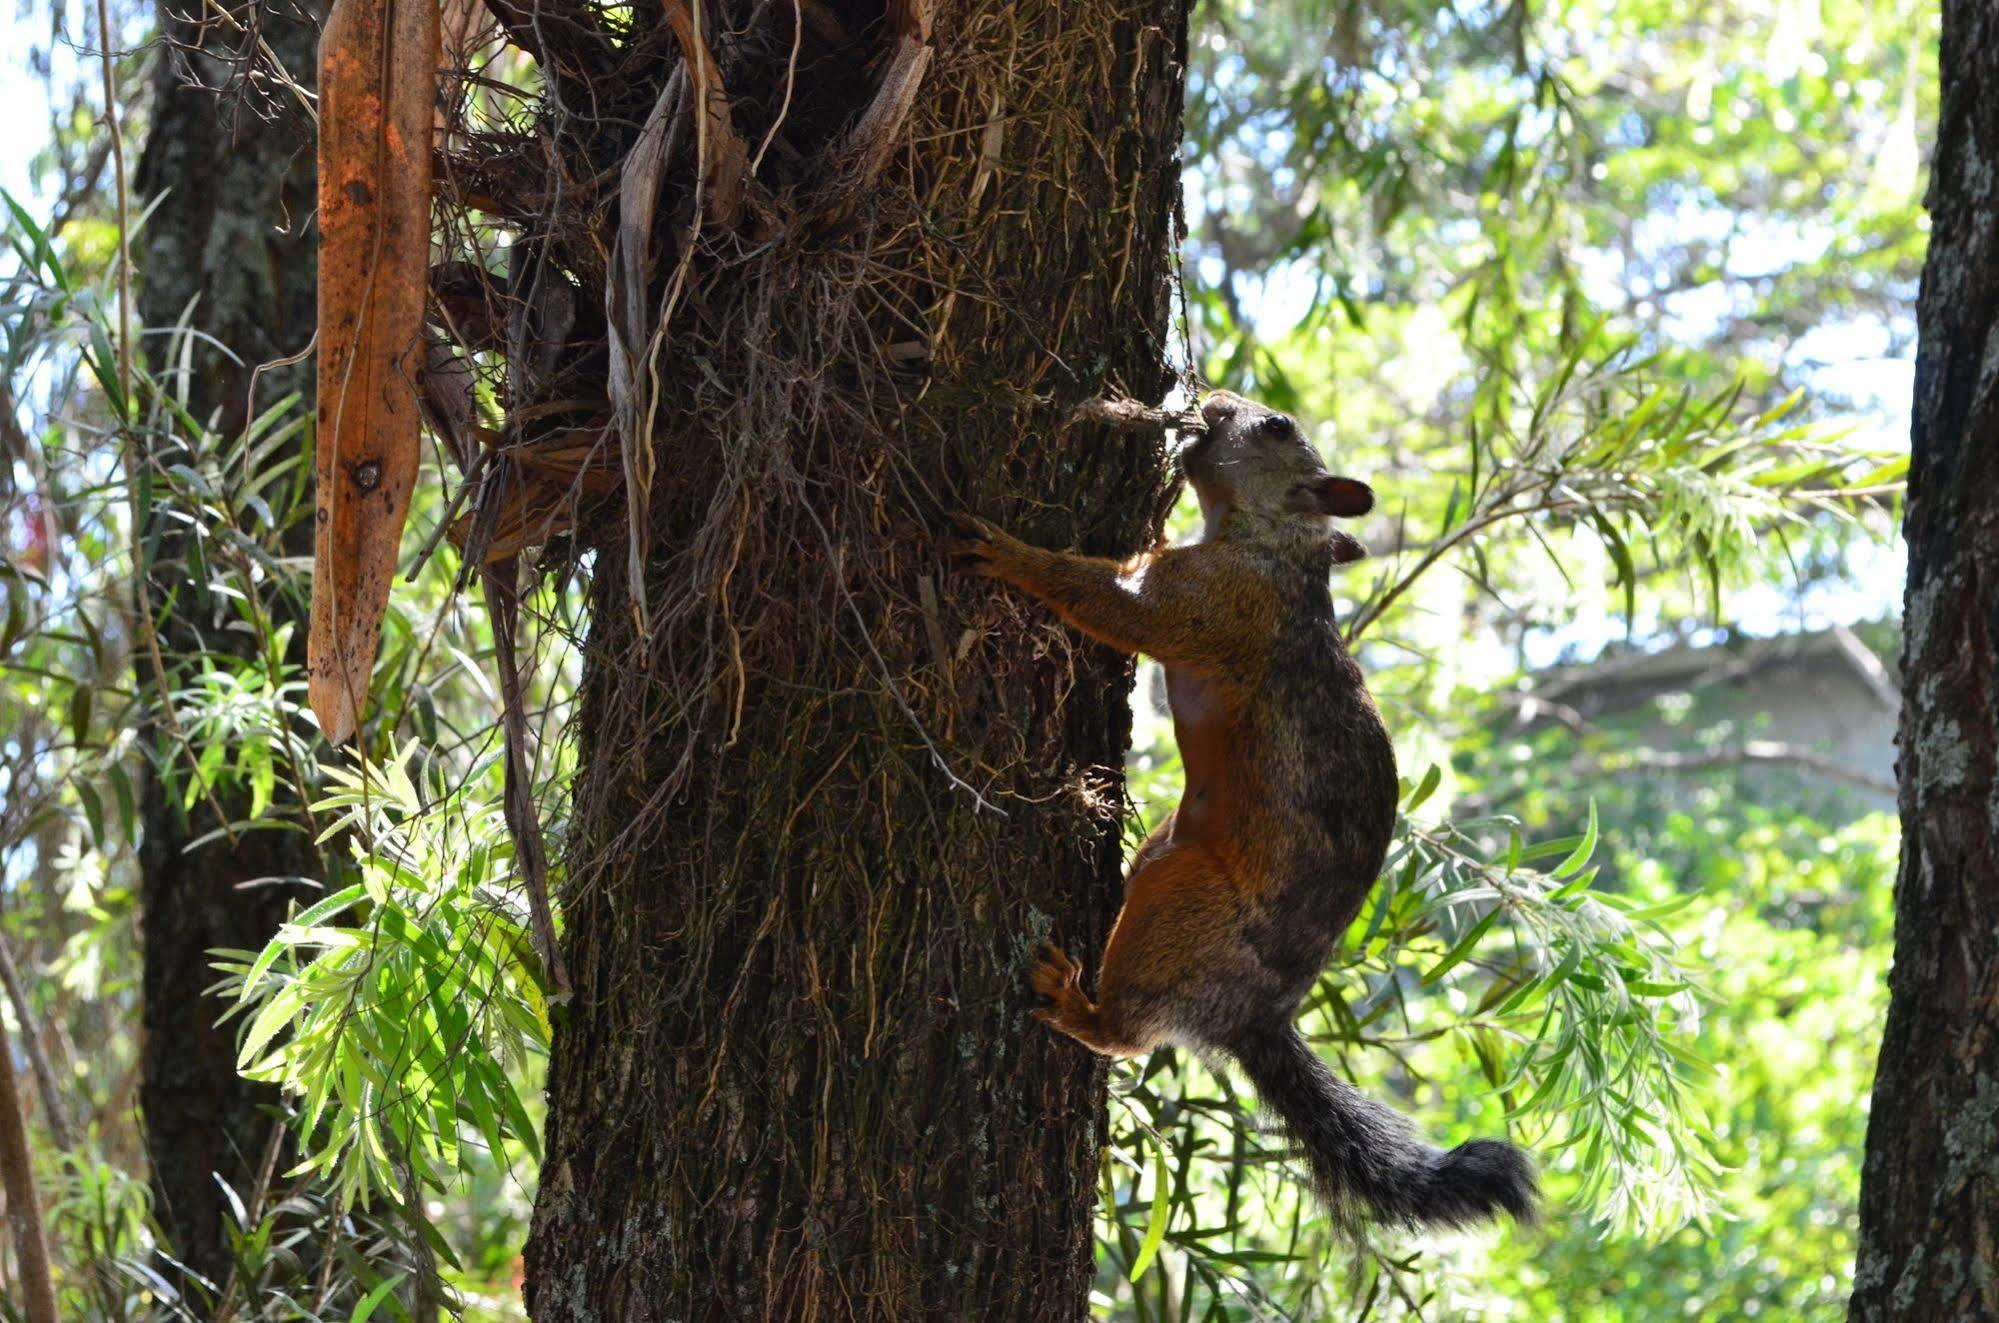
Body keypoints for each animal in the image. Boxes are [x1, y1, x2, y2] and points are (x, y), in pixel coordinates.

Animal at [947, 391, 1527, 1231]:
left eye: (1278, 426)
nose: (1213, 399)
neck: (1269, 543)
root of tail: (1254, 1015)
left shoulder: (1215, 606)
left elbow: (1114, 607)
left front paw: (1011, 554)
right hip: (1164, 853)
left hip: (1182, 900)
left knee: (1127, 1033)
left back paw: (1076, 1003)